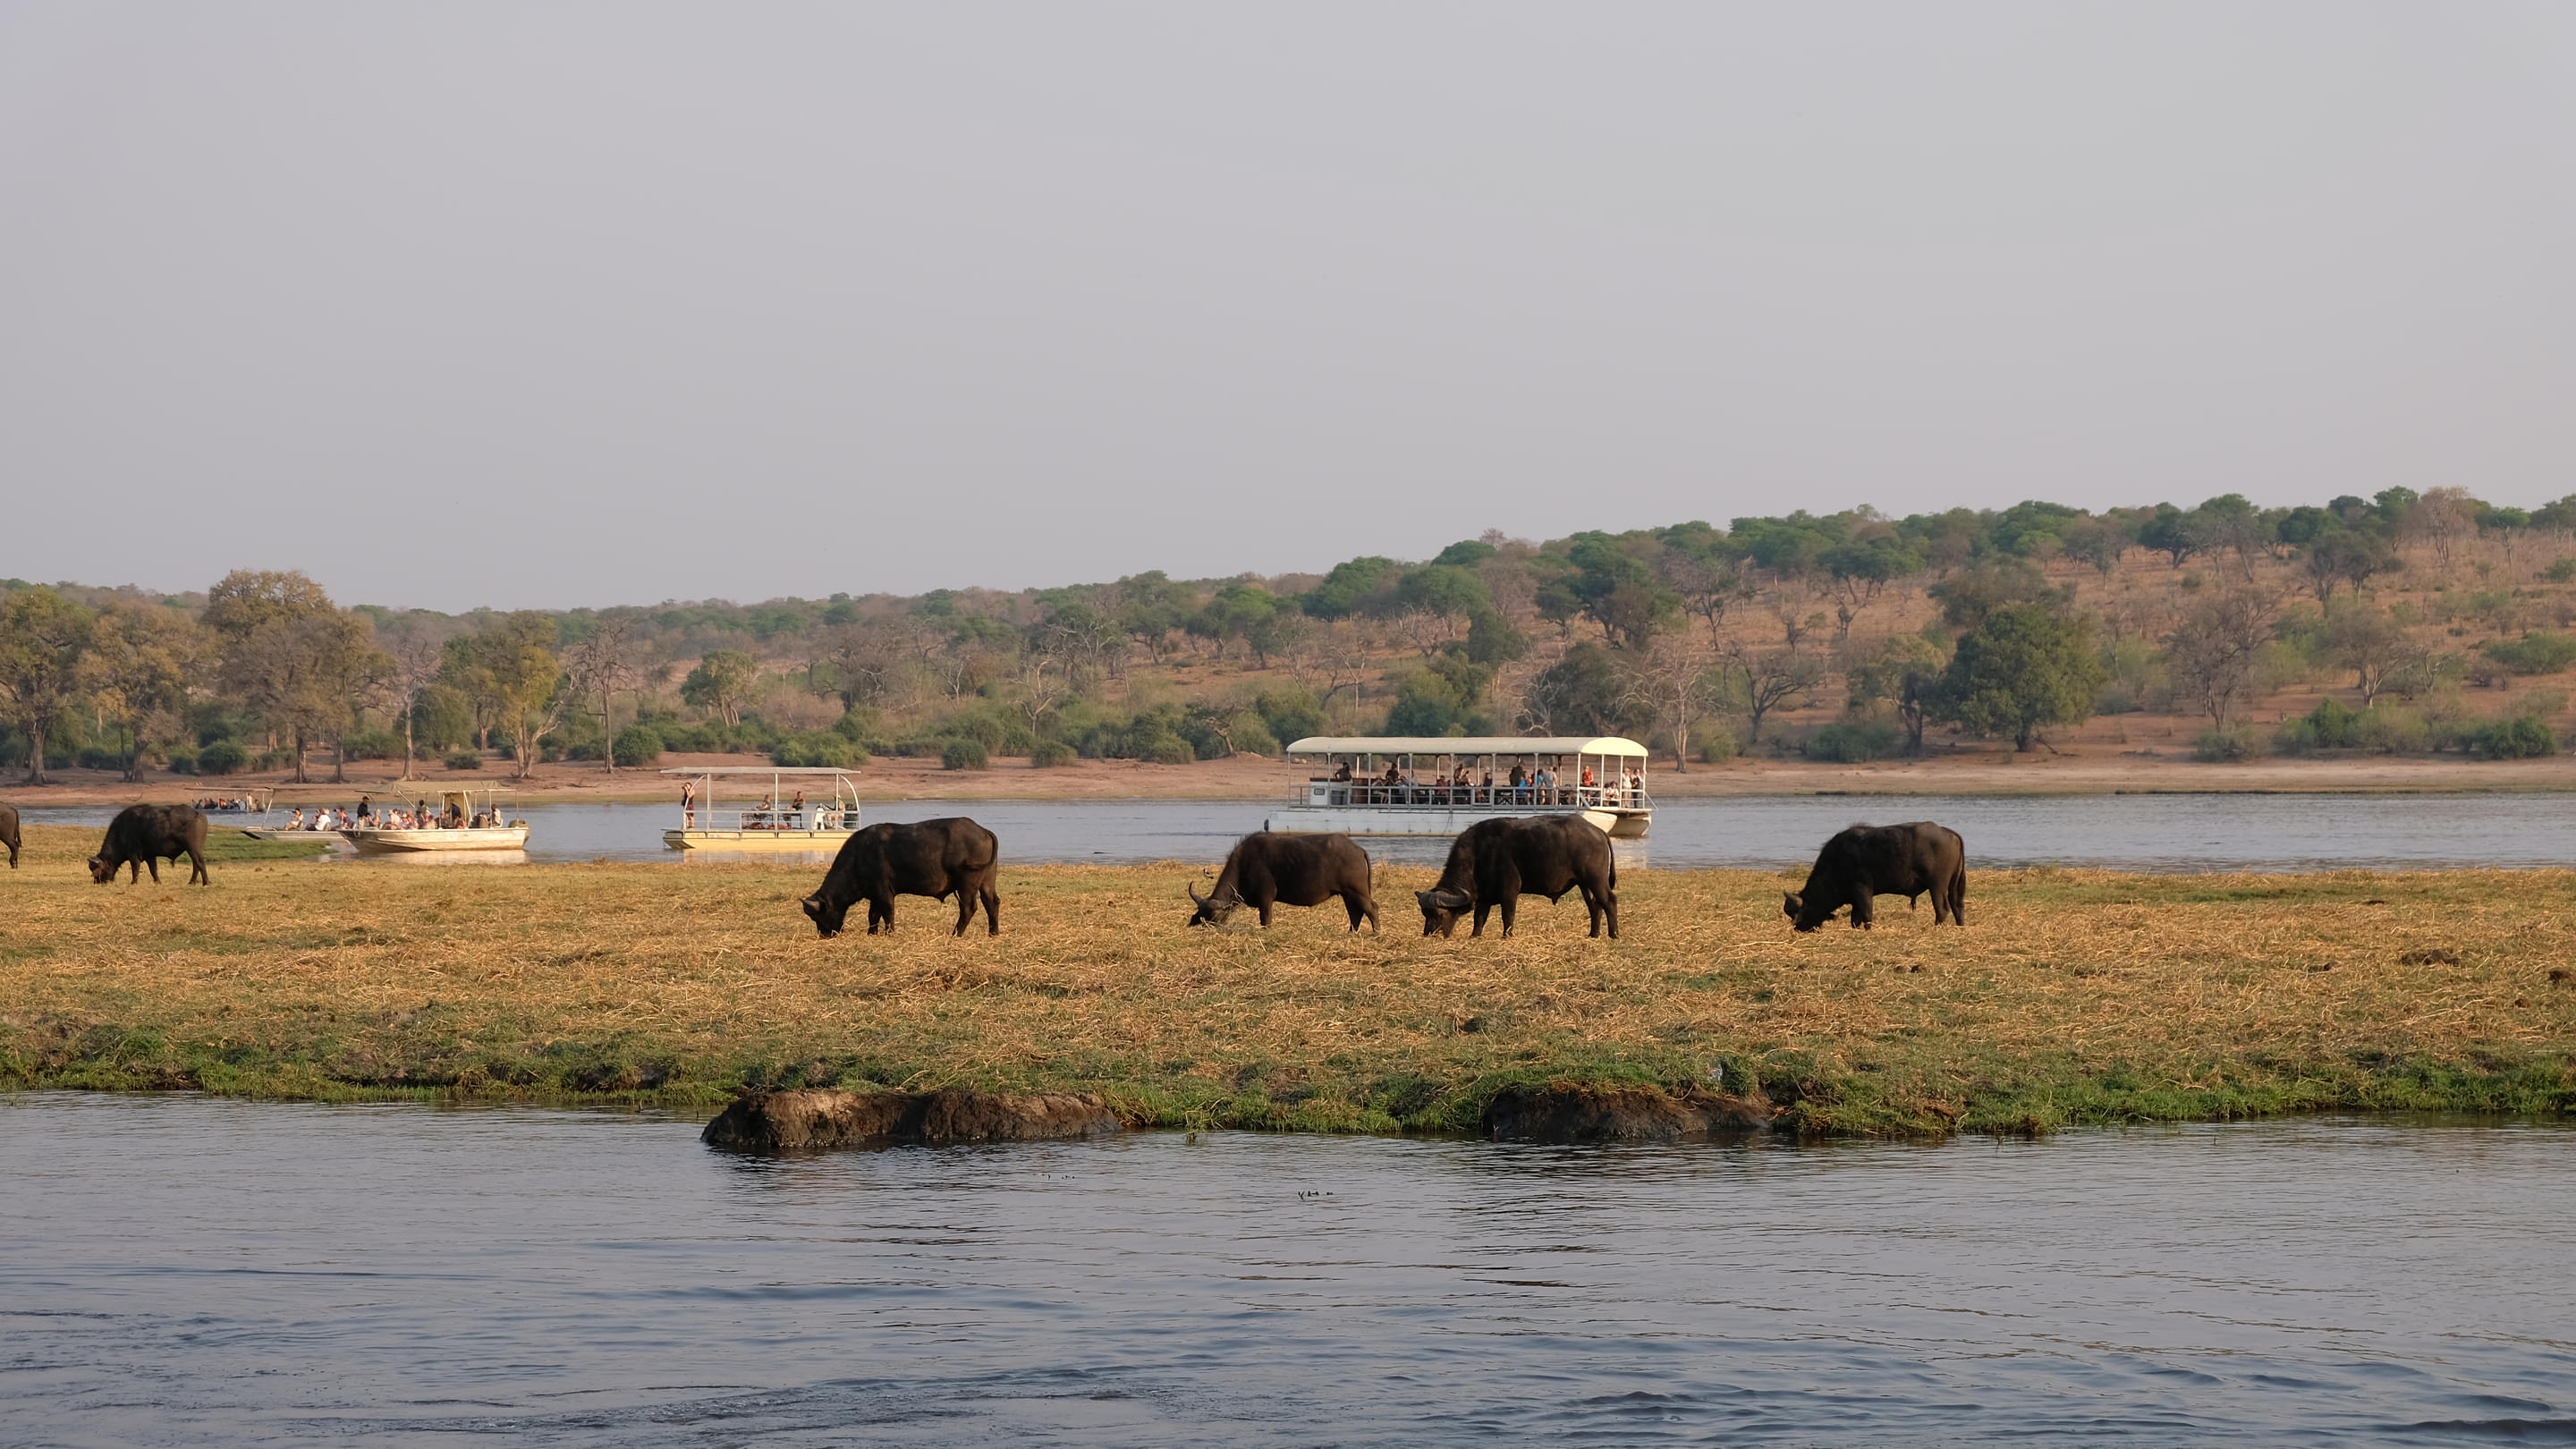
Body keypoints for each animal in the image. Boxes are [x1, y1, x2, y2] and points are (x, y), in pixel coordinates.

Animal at [89, 799, 211, 881]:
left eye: (98, 870)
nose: (97, 882)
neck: (121, 830)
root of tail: (197, 813)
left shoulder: (133, 855)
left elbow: (135, 869)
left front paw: (133, 883)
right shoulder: (150, 855)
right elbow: (153, 870)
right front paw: (158, 882)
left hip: (192, 848)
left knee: (200, 862)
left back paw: (206, 883)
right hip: (194, 849)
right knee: (196, 864)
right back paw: (192, 882)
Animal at [798, 814, 999, 938]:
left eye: (817, 916)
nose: (825, 934)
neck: (858, 857)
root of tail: (982, 831)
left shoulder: (884, 891)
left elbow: (887, 912)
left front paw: (889, 933)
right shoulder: (874, 894)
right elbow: (873, 915)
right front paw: (871, 933)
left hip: (967, 883)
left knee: (968, 907)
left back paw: (956, 933)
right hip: (987, 881)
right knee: (992, 902)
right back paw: (993, 932)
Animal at [1190, 830, 1380, 928]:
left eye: (1215, 917)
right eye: (1203, 917)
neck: (1244, 864)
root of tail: (1357, 849)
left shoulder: (1266, 898)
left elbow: (1265, 920)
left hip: (1358, 892)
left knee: (1371, 909)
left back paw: (1376, 933)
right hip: (1348, 894)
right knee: (1355, 913)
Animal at [1421, 814, 1617, 938]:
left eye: (1438, 914)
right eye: (1425, 914)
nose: (1428, 933)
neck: (1479, 853)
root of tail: (1598, 831)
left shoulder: (1509, 890)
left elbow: (1507, 915)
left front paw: (1507, 936)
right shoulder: (1484, 896)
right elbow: (1479, 917)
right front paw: (1475, 936)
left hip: (1595, 880)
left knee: (1609, 901)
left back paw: (1613, 934)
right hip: (1584, 884)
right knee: (1595, 906)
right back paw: (1593, 934)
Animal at [1782, 819, 1957, 928]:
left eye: (1800, 912)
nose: (1799, 928)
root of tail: (1948, 832)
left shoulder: (1862, 890)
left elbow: (1866, 915)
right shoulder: (1855, 900)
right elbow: (1855, 919)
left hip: (1937, 886)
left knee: (1942, 908)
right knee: (1957, 906)